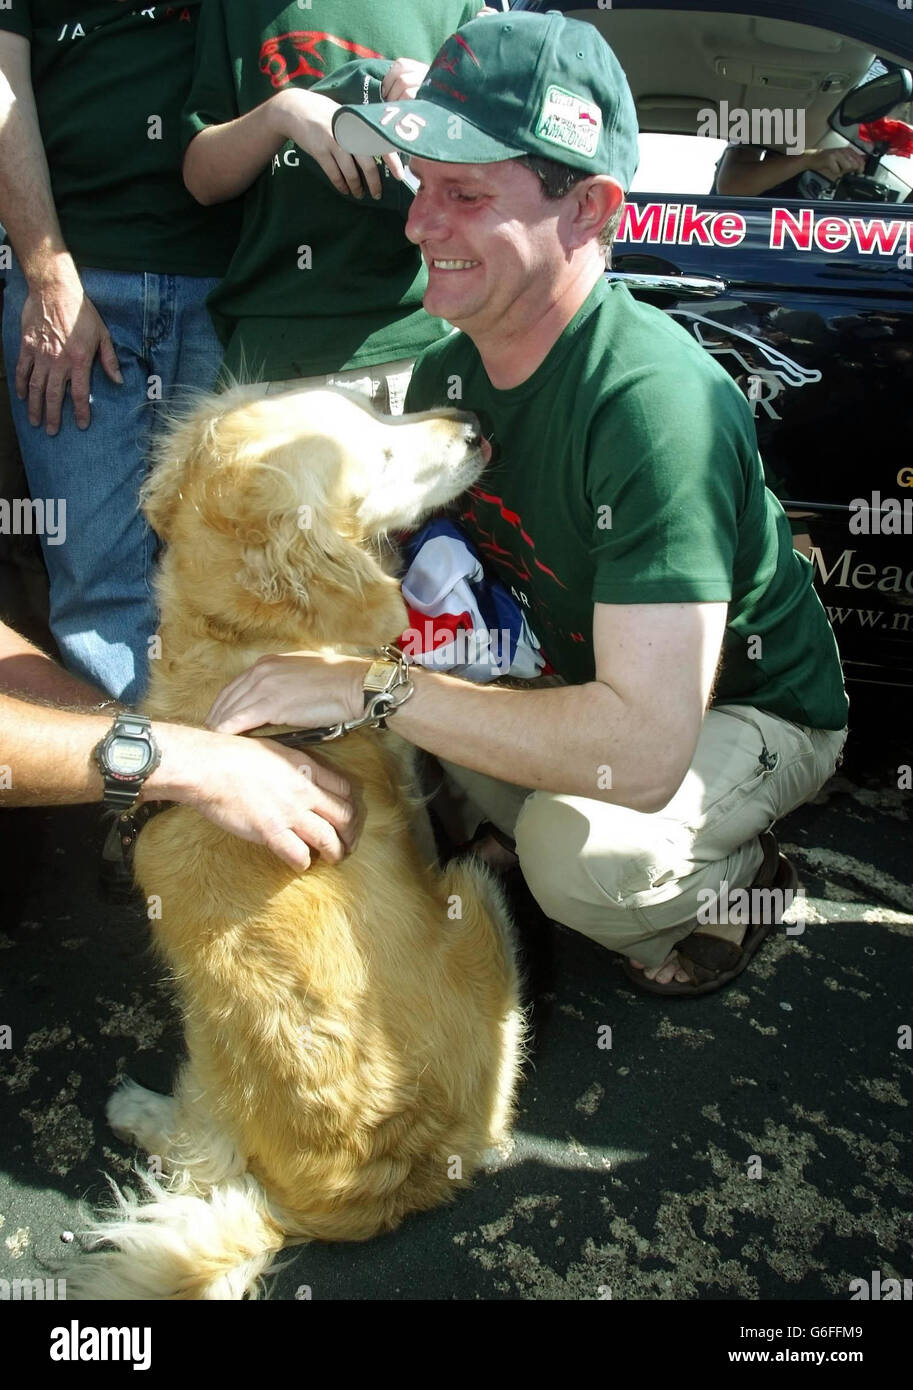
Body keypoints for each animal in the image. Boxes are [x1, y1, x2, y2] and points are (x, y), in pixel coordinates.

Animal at [69, 386, 528, 1295]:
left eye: (376, 405)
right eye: (379, 455)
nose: (475, 428)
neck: (245, 639)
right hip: (476, 896)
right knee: (198, 1146)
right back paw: (136, 1108)